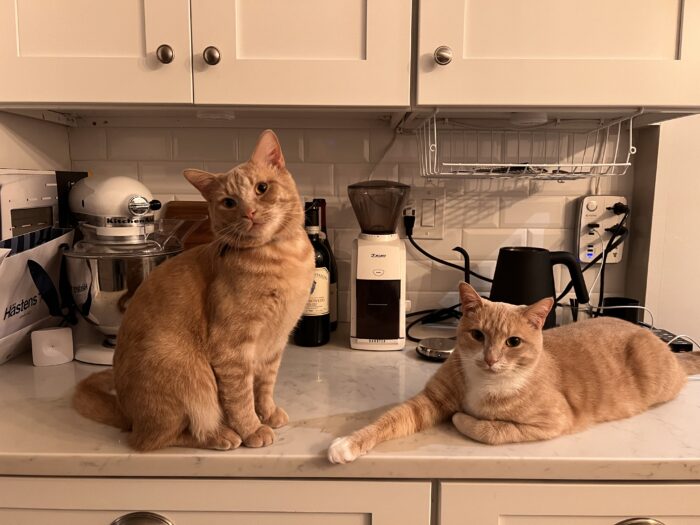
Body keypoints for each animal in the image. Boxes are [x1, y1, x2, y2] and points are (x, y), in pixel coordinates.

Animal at [74, 130, 312, 450]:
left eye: (262, 188)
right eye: (229, 202)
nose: (249, 212)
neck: (284, 256)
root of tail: (127, 414)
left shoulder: (274, 345)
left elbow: (264, 386)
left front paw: (268, 413)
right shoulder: (233, 349)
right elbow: (240, 397)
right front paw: (252, 428)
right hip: (187, 371)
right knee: (161, 436)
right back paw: (222, 434)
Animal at [328, 282, 700, 462]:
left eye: (513, 342)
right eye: (478, 335)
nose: (491, 359)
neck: (484, 382)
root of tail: (662, 342)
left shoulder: (551, 421)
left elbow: (487, 429)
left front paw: (462, 418)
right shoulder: (431, 400)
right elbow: (388, 421)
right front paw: (347, 443)